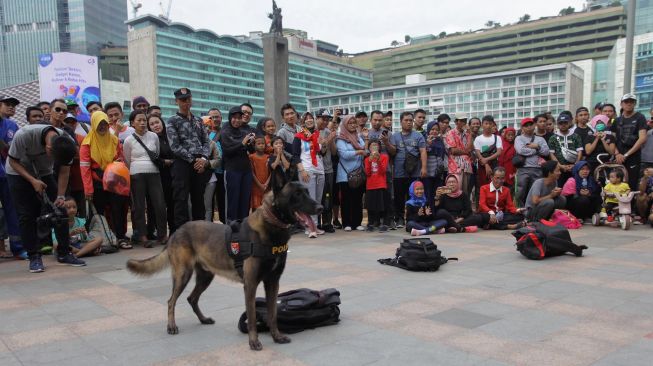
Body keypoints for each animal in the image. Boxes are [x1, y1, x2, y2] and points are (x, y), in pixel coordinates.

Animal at [125, 182, 320, 350]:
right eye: (297, 194)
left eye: (307, 192)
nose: (320, 208)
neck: (270, 225)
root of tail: (176, 232)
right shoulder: (250, 285)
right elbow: (252, 315)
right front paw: (253, 342)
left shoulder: (273, 283)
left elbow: (272, 314)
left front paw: (276, 337)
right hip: (183, 275)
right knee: (171, 301)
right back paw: (171, 326)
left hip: (205, 277)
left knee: (192, 298)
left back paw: (203, 319)